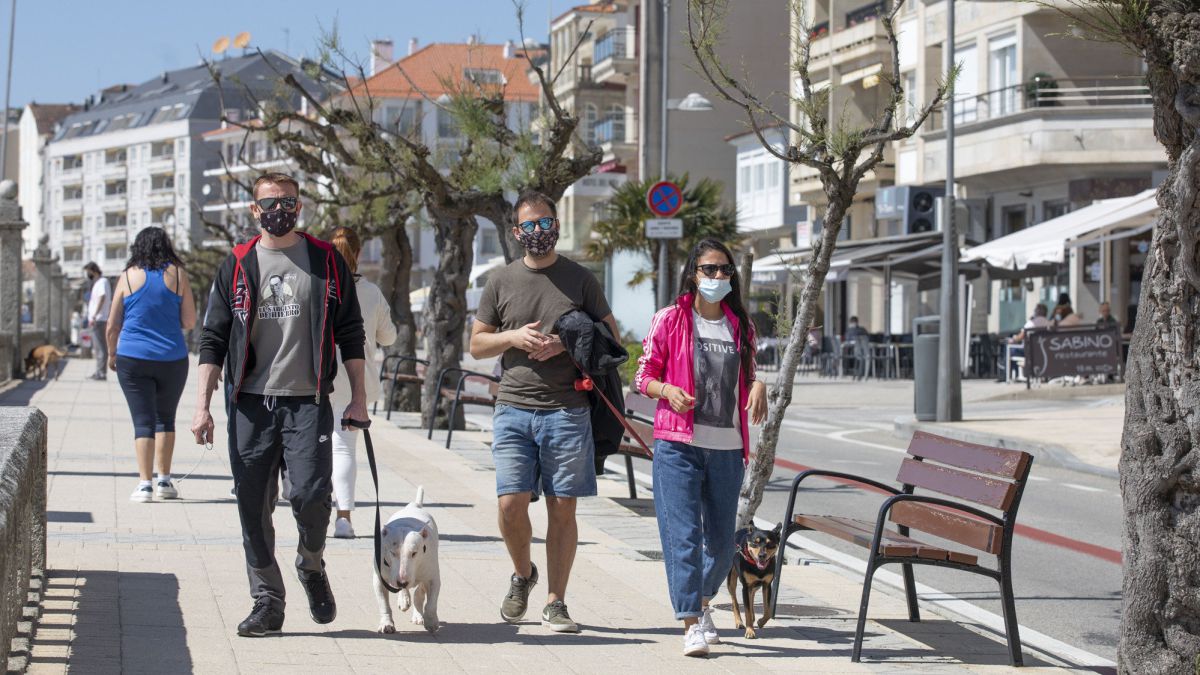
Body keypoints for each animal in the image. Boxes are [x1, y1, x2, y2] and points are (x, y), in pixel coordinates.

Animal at [374, 482, 441, 629]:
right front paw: (387, 624)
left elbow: (432, 601)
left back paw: (418, 615)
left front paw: (431, 621)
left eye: (414, 552)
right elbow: (383, 603)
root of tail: (414, 506)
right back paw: (404, 599)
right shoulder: (380, 578)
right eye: (392, 552)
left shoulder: (432, 576)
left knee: (419, 592)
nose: (402, 581)